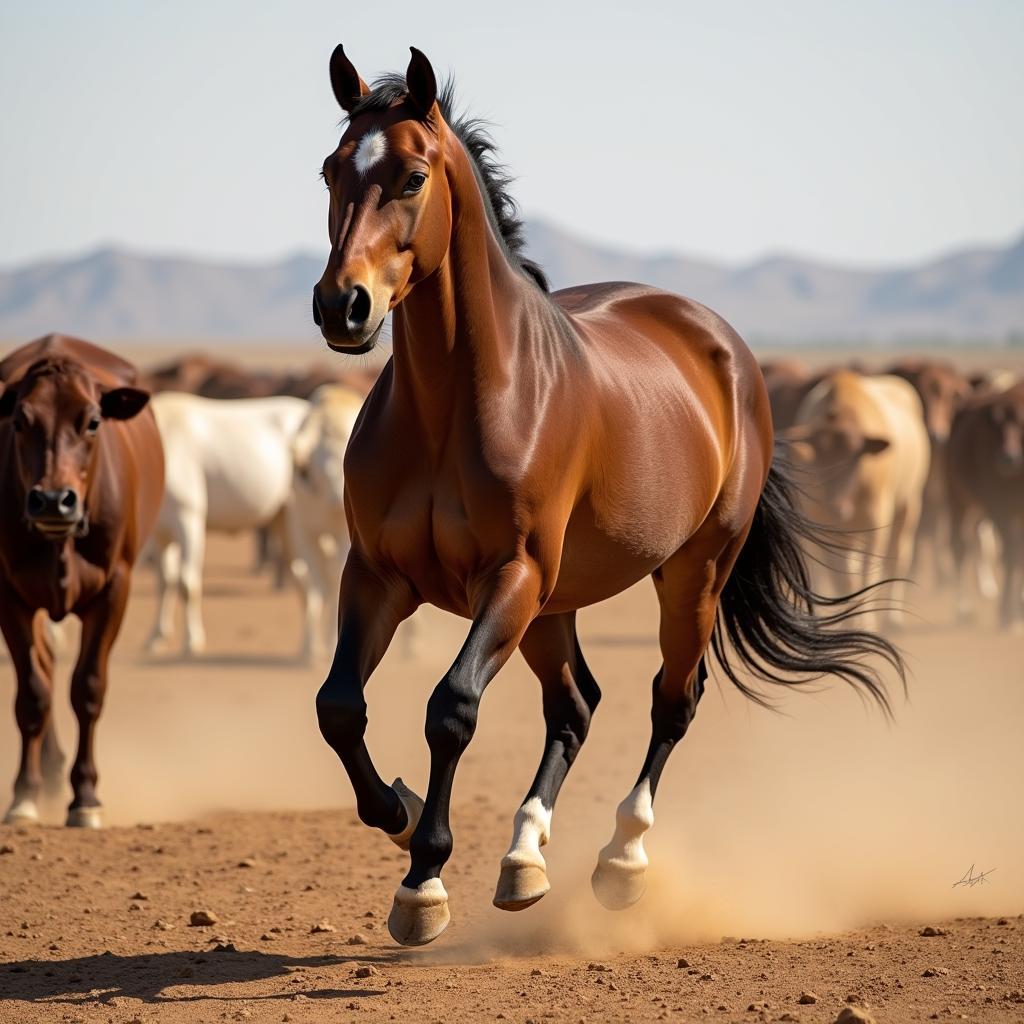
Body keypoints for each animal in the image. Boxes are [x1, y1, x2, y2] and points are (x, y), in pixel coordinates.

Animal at [0, 331, 161, 827]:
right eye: (20, 420)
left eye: (92, 422)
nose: (54, 501)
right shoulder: (9, 595)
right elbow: (33, 693)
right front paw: (24, 794)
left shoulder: (114, 590)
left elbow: (88, 688)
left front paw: (86, 796)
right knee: (46, 669)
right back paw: (48, 773)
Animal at [146, 391, 309, 655]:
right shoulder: (160, 534)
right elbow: (164, 583)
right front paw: (156, 637)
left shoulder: (188, 521)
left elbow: (186, 584)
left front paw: (192, 641)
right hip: (281, 521)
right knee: (302, 577)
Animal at [313, 46, 905, 942]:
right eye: (329, 170)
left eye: (412, 177)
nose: (341, 306)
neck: (455, 408)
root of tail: (721, 343)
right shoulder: (379, 576)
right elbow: (340, 707)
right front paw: (406, 816)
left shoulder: (512, 575)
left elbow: (452, 707)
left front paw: (423, 884)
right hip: (554, 606)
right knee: (576, 705)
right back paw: (524, 858)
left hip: (687, 575)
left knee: (671, 702)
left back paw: (620, 861)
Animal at [942, 382, 1024, 626]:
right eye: (996, 428)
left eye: (1022, 424)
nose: (1008, 459)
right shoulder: (999, 509)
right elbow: (1012, 555)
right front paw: (1007, 613)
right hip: (957, 497)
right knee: (959, 545)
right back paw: (963, 609)